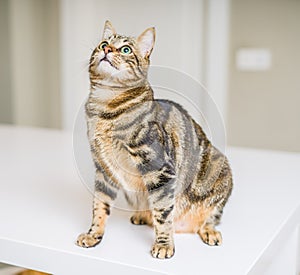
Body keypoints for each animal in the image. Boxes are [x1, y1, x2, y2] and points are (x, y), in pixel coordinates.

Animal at [77, 20, 232, 260]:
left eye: (125, 49)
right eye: (103, 43)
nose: (107, 49)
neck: (104, 108)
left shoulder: (159, 170)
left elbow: (163, 213)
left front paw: (164, 244)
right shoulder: (104, 170)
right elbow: (99, 206)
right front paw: (94, 234)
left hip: (221, 169)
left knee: (212, 216)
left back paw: (209, 231)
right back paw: (142, 215)